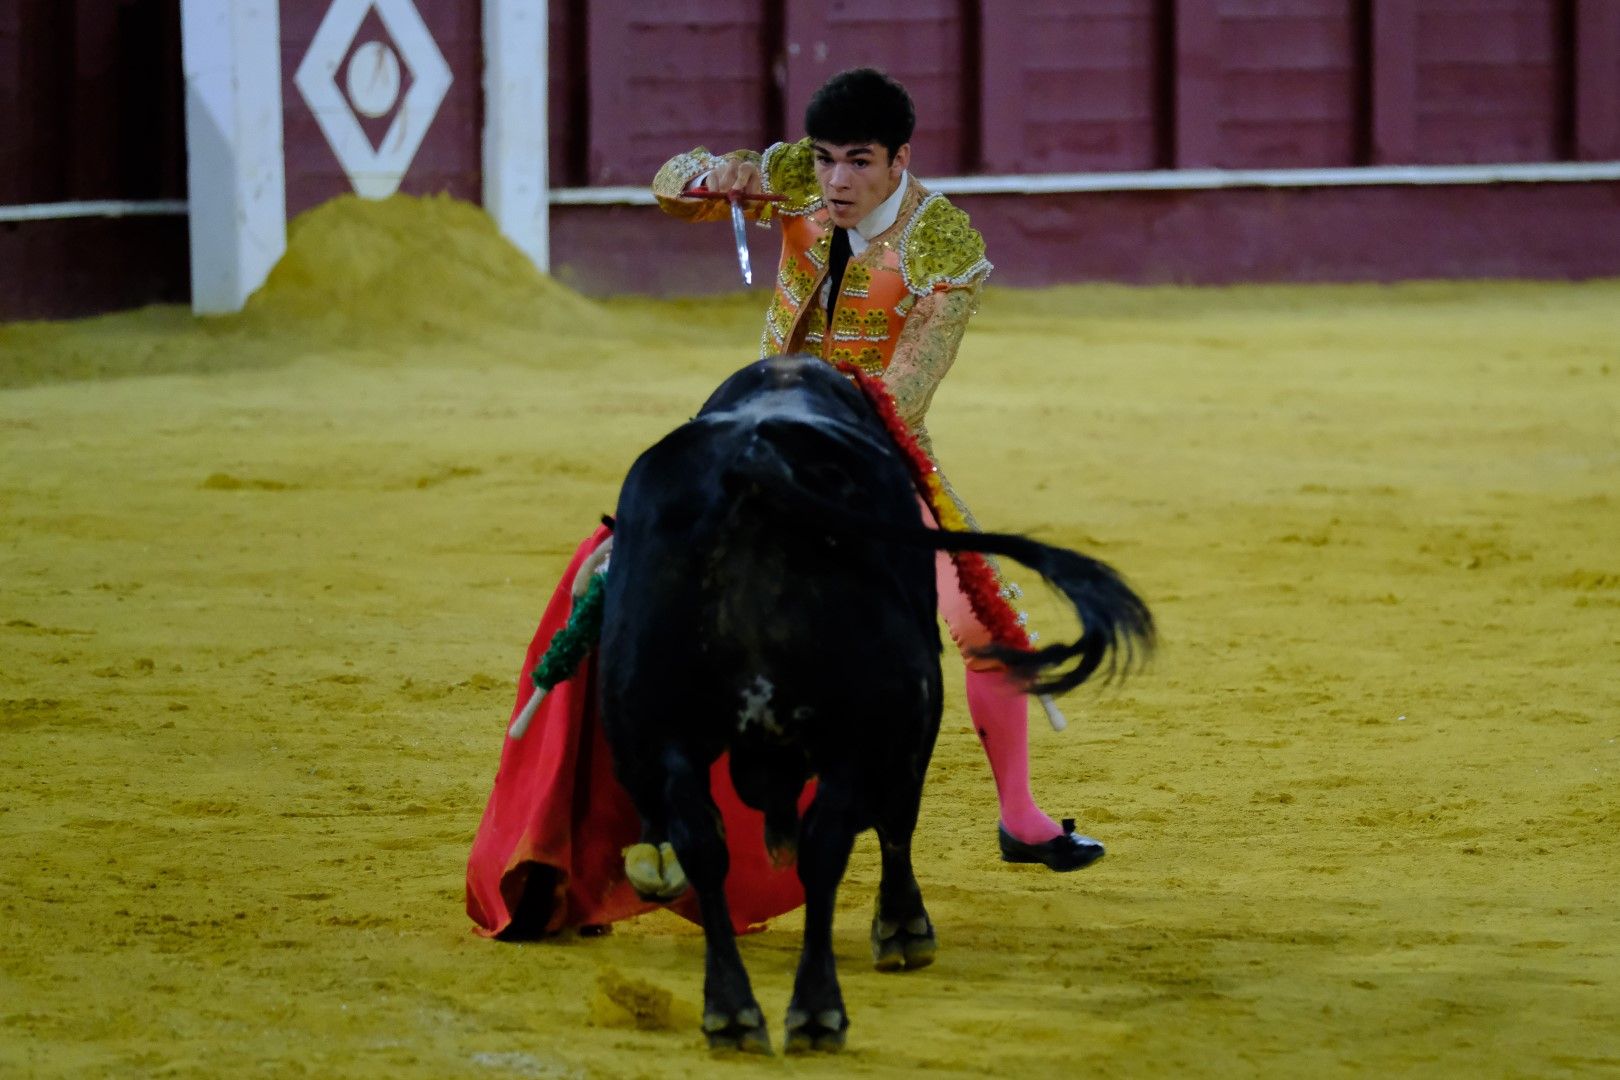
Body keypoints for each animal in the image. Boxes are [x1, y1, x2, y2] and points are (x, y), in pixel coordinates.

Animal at [599, 356, 1153, 1055]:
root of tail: (754, 465)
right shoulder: (903, 719)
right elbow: (896, 821)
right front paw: (903, 929)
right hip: (862, 724)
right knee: (830, 841)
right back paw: (817, 1010)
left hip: (662, 718)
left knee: (706, 845)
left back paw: (731, 1010)